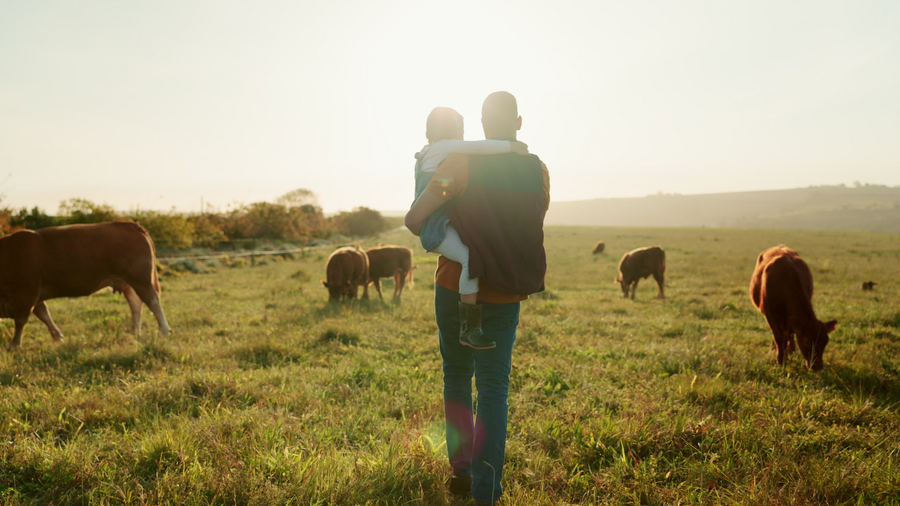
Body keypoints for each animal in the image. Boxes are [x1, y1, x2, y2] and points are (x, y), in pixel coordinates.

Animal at [0, 223, 171, 350]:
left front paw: (14, 345)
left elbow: (21, 320)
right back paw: (134, 332)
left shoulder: (27, 291)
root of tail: (131, 225)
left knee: (153, 301)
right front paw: (58, 337)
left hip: (140, 279)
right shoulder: (35, 295)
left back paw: (164, 330)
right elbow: (44, 314)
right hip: (128, 283)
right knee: (136, 304)